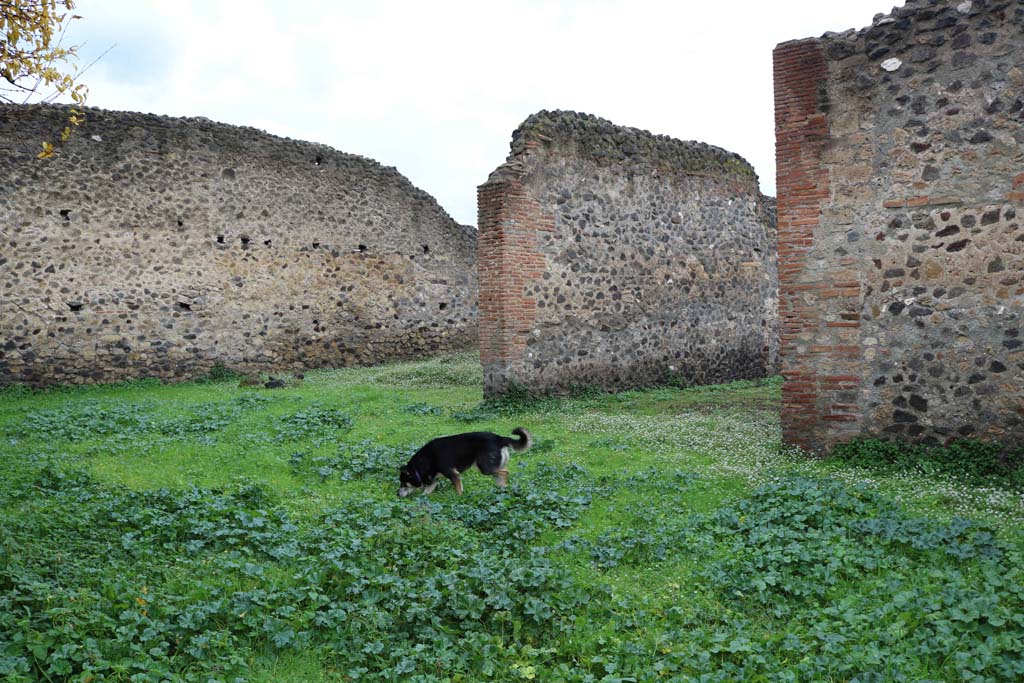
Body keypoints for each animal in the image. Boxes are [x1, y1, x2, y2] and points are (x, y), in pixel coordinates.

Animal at [395, 428, 532, 497]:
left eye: (403, 483)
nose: (397, 495)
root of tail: (500, 438)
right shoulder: (434, 479)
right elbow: (426, 492)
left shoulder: (453, 474)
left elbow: (458, 489)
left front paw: (459, 498)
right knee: (501, 477)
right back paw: (502, 490)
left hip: (485, 467)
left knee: (506, 471)